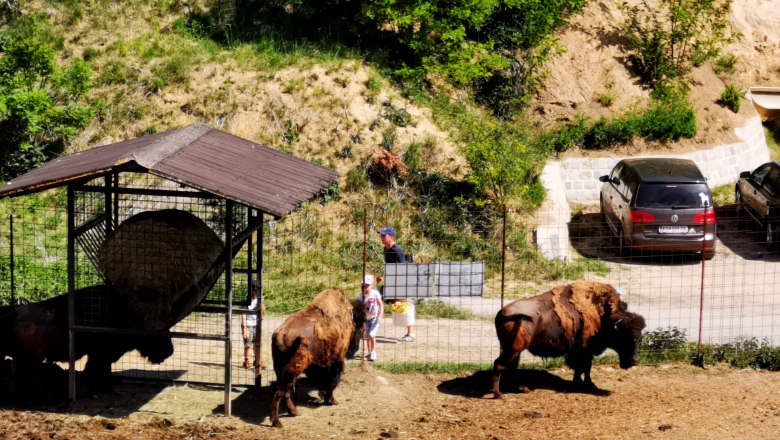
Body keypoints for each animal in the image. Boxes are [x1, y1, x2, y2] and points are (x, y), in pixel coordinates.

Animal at [270, 288, 367, 427]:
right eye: (360, 324)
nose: (355, 347)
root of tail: (280, 334)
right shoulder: (336, 361)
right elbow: (332, 382)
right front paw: (331, 400)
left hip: (280, 369)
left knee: (285, 392)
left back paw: (294, 412)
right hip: (293, 370)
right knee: (280, 392)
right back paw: (277, 422)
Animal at [490, 280, 645, 398]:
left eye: (639, 337)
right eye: (626, 336)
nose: (634, 361)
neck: (604, 316)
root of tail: (502, 312)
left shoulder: (585, 351)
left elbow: (585, 368)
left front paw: (587, 383)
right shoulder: (583, 350)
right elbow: (583, 367)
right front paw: (583, 384)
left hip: (515, 350)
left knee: (511, 367)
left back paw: (522, 388)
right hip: (512, 349)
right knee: (499, 364)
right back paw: (498, 394)